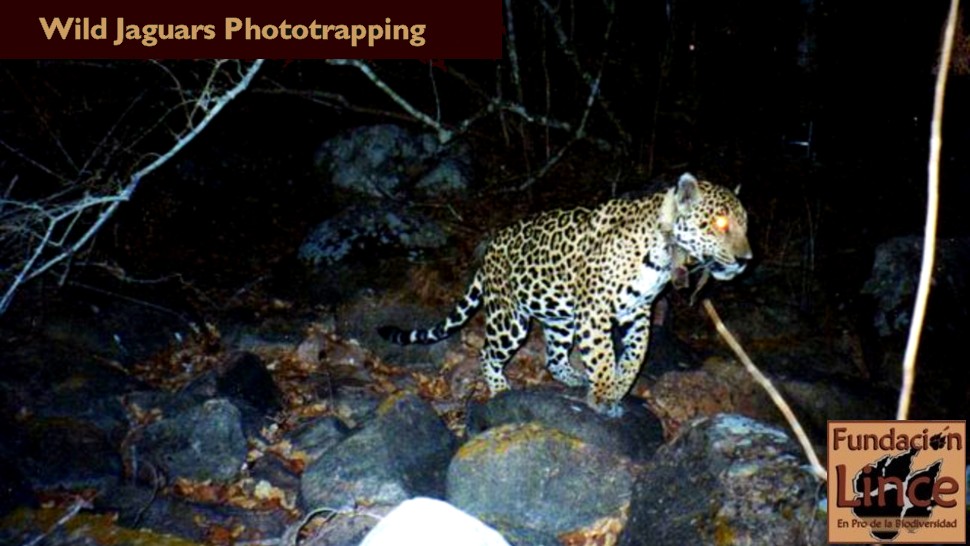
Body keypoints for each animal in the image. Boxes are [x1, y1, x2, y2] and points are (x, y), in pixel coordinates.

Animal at [378, 173, 752, 417]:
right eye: (719, 224)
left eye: (746, 224)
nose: (746, 259)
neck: (664, 253)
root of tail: (491, 250)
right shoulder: (596, 312)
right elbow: (603, 356)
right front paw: (602, 395)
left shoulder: (638, 311)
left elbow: (634, 356)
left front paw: (617, 388)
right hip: (510, 319)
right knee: (487, 352)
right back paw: (499, 389)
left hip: (560, 318)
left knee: (554, 358)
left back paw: (573, 377)